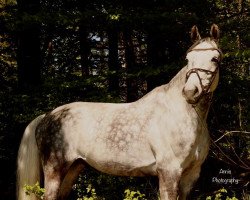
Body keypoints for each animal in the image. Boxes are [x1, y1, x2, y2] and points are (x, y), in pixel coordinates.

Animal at [16, 23, 222, 200]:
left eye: (215, 59)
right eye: (188, 59)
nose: (190, 92)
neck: (184, 117)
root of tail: (48, 116)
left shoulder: (190, 176)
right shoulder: (169, 173)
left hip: (74, 167)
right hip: (54, 169)